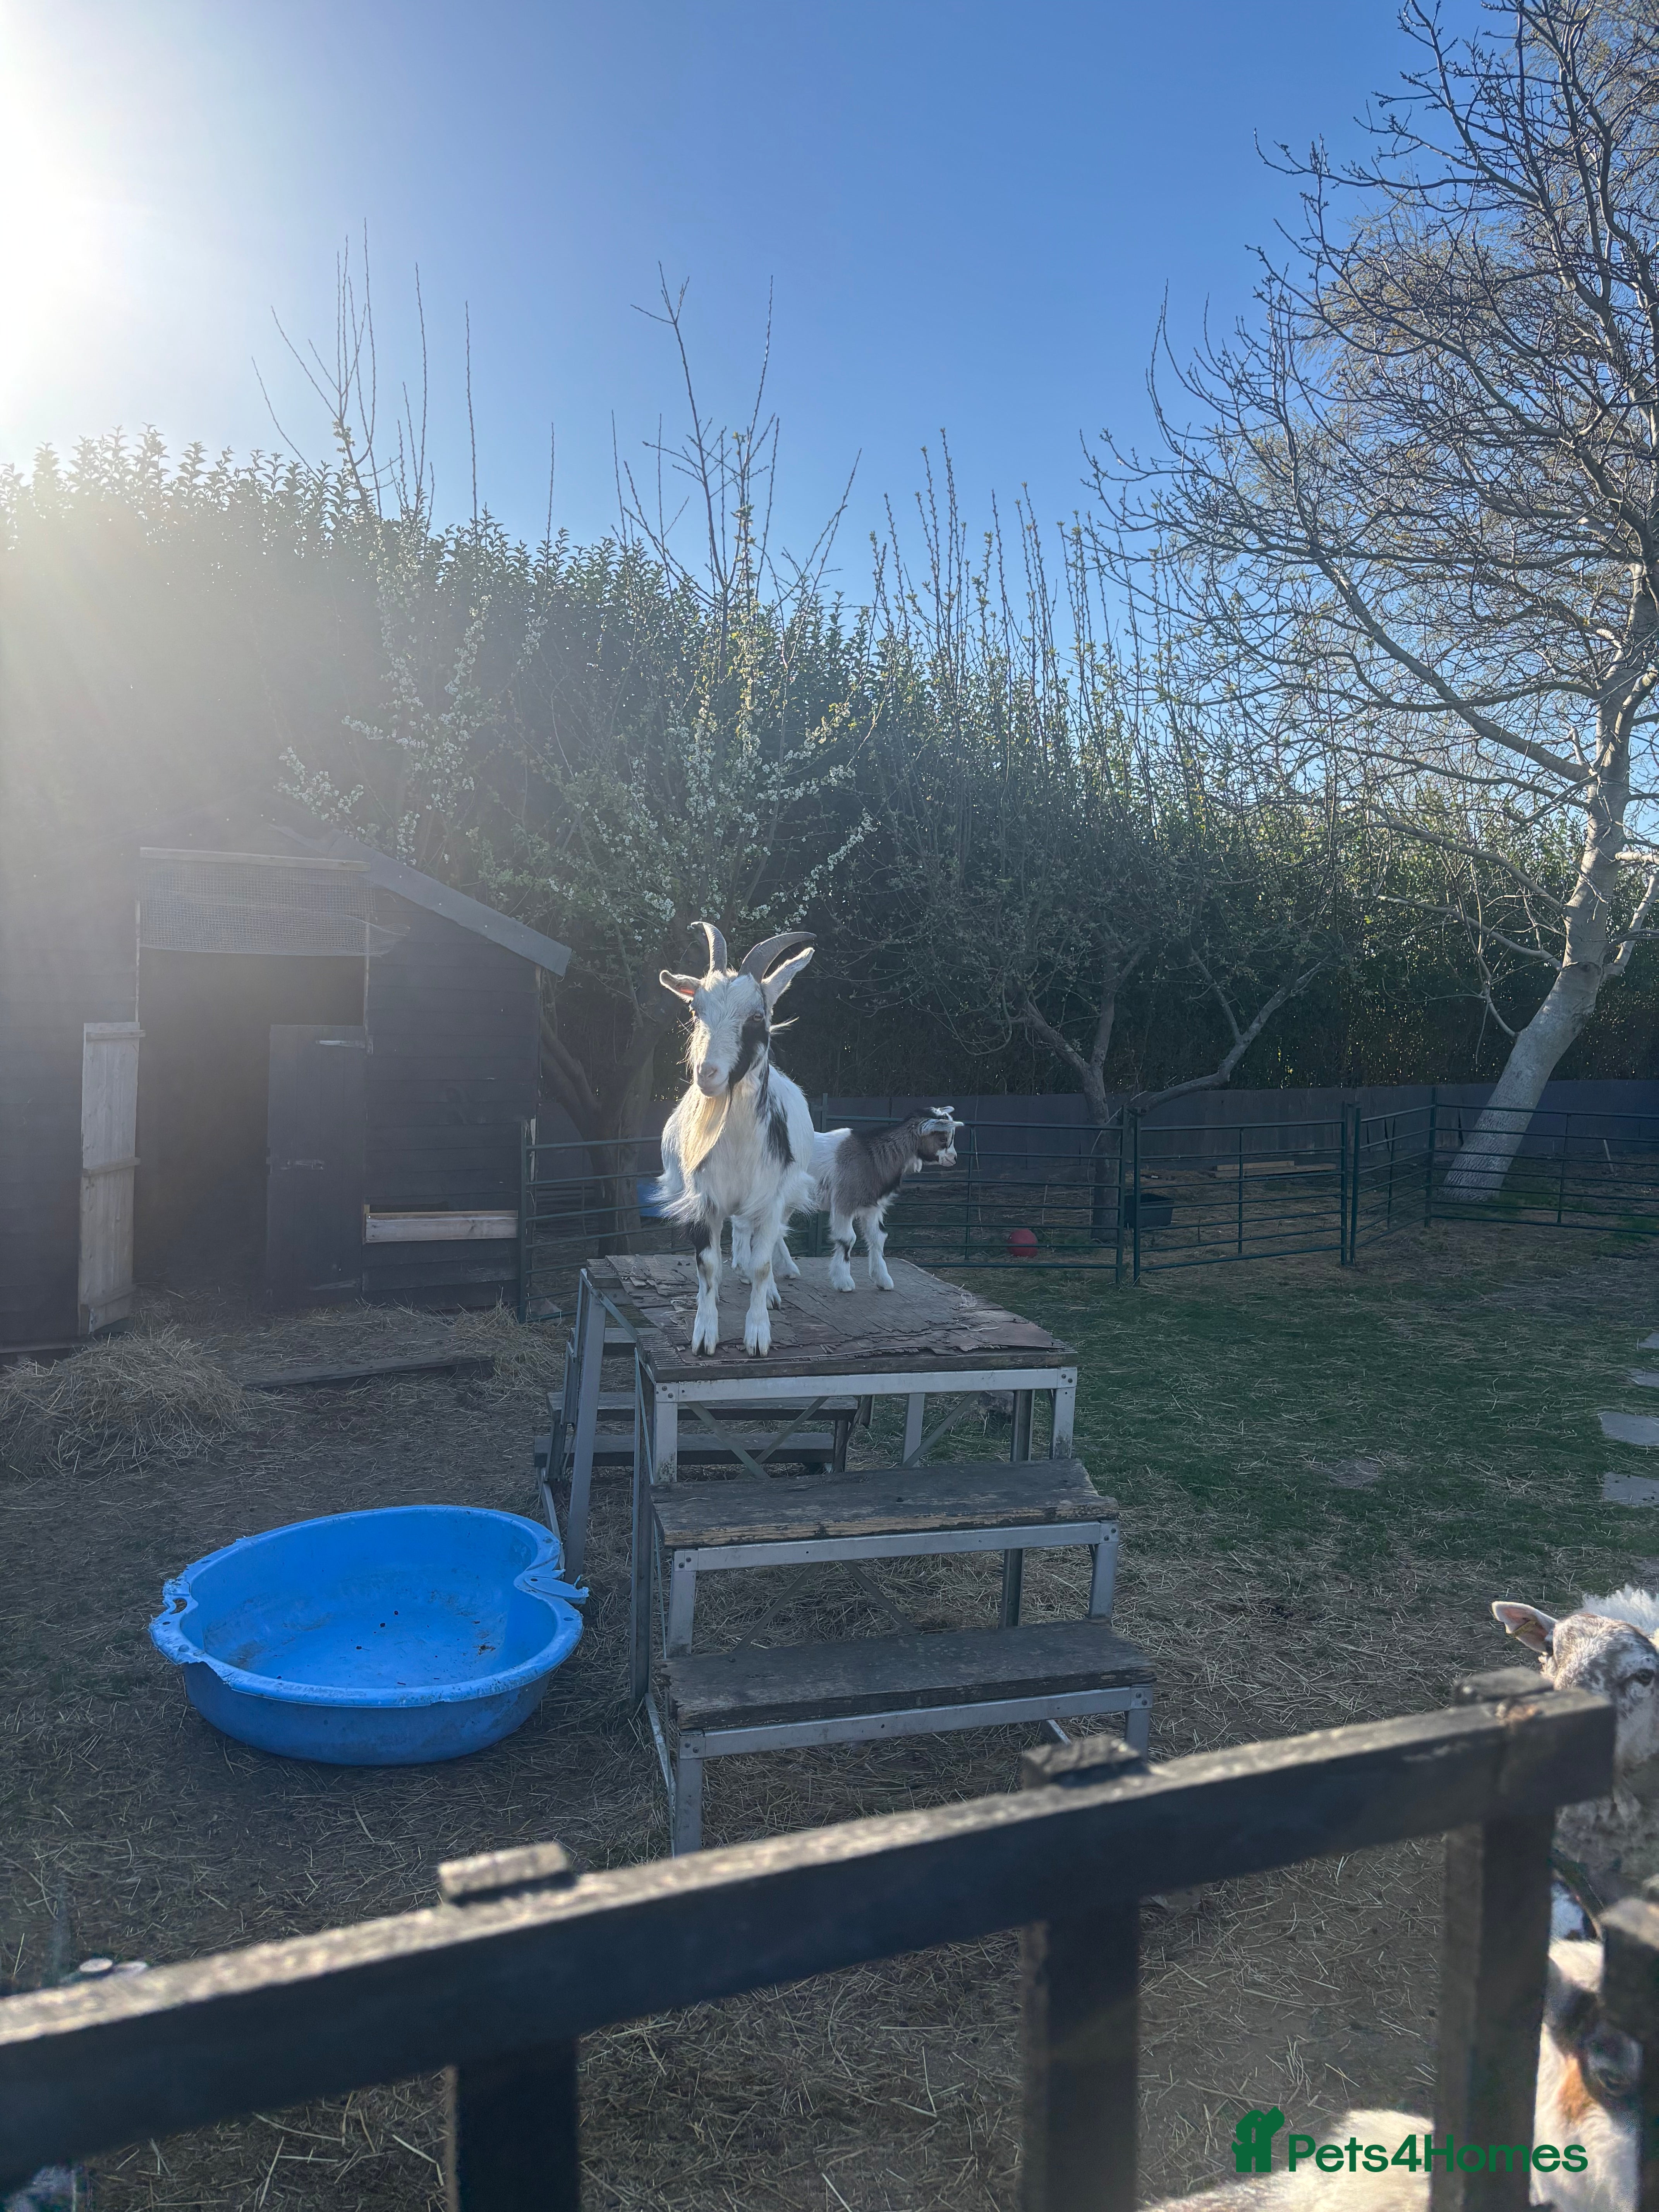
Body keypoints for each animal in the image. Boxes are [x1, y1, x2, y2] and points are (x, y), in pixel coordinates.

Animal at [654, 923, 819, 1357]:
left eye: (757, 1016)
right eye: (696, 1011)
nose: (707, 1073)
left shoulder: (771, 1197)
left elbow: (763, 1263)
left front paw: (758, 1334)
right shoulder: (702, 1198)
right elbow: (708, 1266)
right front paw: (704, 1333)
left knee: (765, 1239)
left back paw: (772, 1288)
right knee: (740, 1233)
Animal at [811, 1109, 962, 1292]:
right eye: (943, 1139)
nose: (953, 1158)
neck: (871, 1155)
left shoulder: (872, 1207)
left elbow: (879, 1237)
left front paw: (883, 1280)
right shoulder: (845, 1201)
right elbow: (848, 1239)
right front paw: (844, 1282)